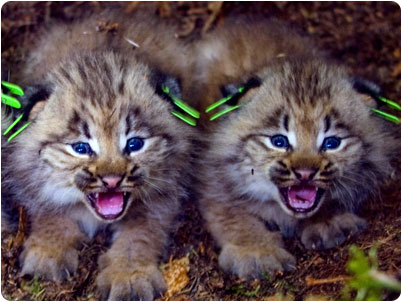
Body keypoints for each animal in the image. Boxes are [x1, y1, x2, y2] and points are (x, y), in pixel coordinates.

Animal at [1, 9, 196, 300]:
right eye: (81, 148)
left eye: (134, 144)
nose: (112, 181)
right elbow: (50, 213)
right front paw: (48, 249)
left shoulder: (163, 198)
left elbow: (139, 236)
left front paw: (129, 276)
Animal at [195, 18, 398, 278]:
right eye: (279, 141)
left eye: (332, 143)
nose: (304, 174)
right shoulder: (213, 181)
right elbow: (233, 216)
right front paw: (256, 252)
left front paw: (328, 221)